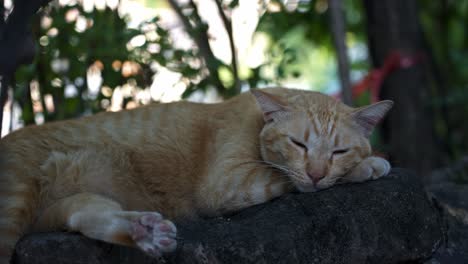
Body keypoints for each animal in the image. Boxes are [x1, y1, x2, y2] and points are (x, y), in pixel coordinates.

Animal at [0, 88, 394, 262]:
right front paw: (368, 165)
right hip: (15, 197)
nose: (316, 173)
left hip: (71, 207)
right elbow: (286, 177)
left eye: (338, 151)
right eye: (298, 143)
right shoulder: (227, 184)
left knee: (87, 215)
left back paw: (145, 231)